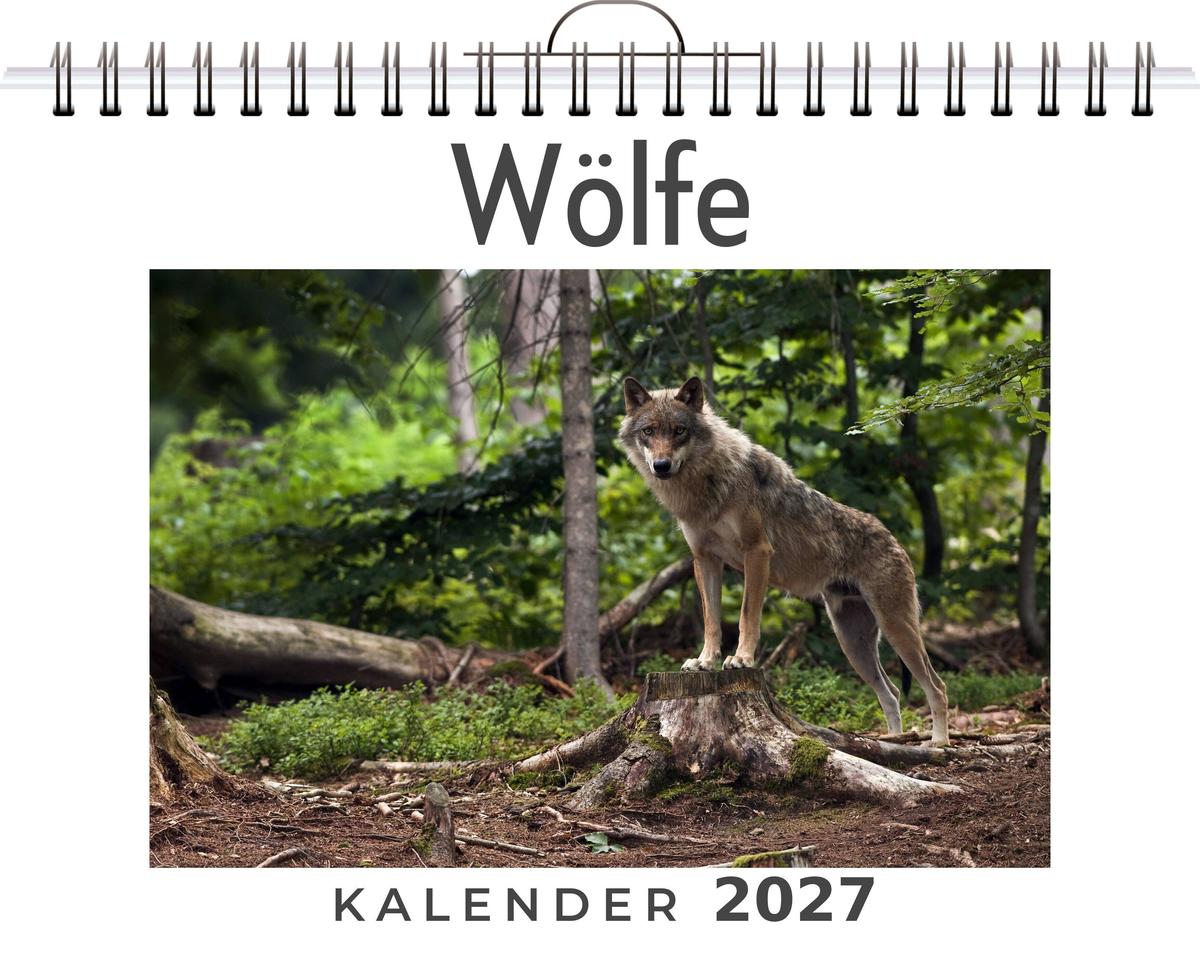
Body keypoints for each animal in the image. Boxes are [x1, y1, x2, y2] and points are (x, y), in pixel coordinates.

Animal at [620, 376, 950, 746]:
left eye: (679, 431)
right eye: (649, 431)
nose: (661, 466)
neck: (706, 485)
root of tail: (893, 539)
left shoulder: (757, 552)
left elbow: (747, 615)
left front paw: (741, 659)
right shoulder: (704, 559)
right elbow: (711, 620)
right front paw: (705, 662)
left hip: (896, 630)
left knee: (937, 686)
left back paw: (939, 743)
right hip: (854, 644)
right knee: (891, 692)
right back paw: (894, 741)